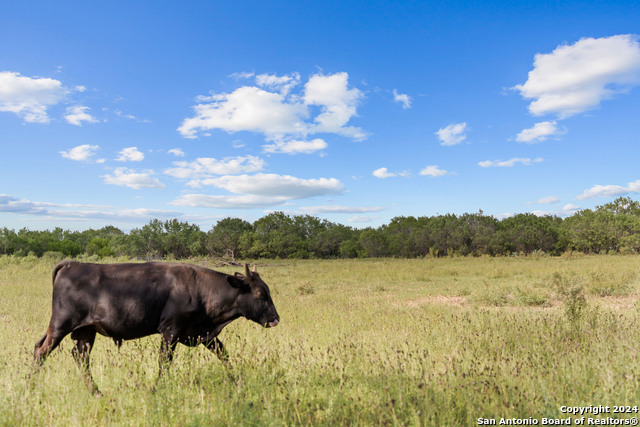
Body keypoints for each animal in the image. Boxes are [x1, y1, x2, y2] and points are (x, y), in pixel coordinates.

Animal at [32, 260, 278, 392]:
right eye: (260, 294)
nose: (275, 318)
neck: (200, 288)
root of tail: (72, 264)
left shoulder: (205, 335)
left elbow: (224, 355)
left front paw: (237, 382)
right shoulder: (170, 332)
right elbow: (164, 362)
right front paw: (156, 389)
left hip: (85, 331)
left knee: (78, 357)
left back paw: (96, 392)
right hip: (60, 326)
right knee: (42, 351)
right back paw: (29, 385)